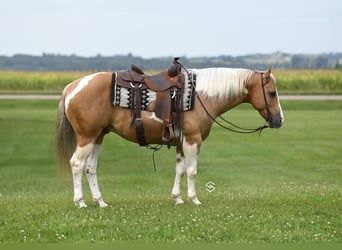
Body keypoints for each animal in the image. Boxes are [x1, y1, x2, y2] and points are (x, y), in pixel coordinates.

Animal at [56, 62, 284, 207]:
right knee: (77, 164)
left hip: (98, 137)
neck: (200, 96)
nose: (279, 120)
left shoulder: (181, 143)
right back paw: (80, 202)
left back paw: (100, 201)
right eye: (272, 93)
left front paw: (178, 198)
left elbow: (180, 170)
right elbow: (192, 171)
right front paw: (194, 199)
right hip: (87, 137)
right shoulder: (193, 140)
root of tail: (72, 87)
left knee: (90, 168)